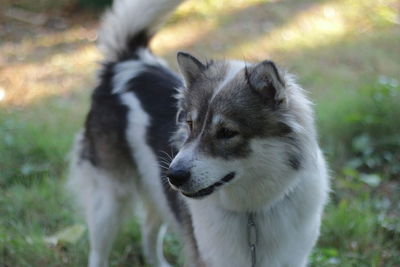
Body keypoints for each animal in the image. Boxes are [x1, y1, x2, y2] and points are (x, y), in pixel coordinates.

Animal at [69, 0, 330, 266]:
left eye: (226, 132)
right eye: (190, 124)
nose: (173, 176)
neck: (251, 214)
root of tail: (128, 61)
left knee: (149, 230)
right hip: (108, 202)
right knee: (98, 252)